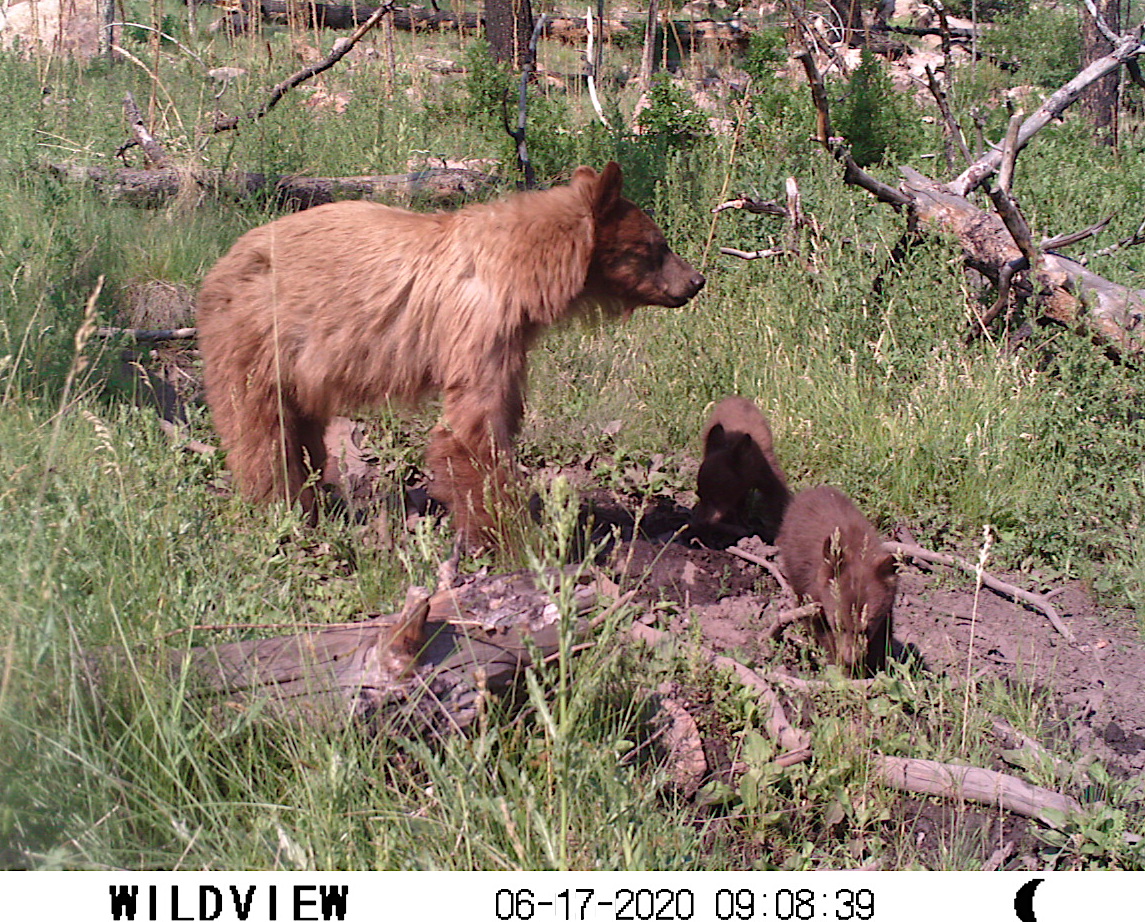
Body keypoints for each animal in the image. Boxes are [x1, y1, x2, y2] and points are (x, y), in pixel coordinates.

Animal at [196, 162, 705, 544]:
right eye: (658, 245)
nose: (696, 280)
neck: (521, 272)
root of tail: (220, 264)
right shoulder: (477, 325)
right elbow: (473, 429)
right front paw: (507, 535)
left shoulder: (511, 340)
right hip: (257, 337)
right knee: (261, 429)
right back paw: (281, 505)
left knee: (301, 429)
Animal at [692, 396, 791, 545]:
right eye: (699, 494)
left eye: (717, 498)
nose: (700, 523)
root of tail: (734, 397)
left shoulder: (770, 477)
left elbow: (779, 503)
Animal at [776, 485, 897, 676]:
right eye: (838, 624)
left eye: (867, 628)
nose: (850, 658)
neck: (856, 551)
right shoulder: (814, 593)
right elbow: (821, 629)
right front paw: (843, 667)